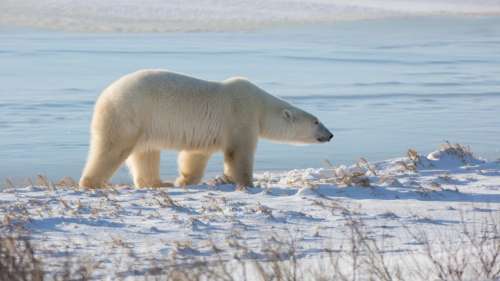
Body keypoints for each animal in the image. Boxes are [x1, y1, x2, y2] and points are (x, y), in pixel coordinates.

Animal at [79, 69, 332, 188]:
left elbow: (196, 155)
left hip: (146, 124)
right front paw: (247, 183)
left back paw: (158, 182)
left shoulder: (207, 133)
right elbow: (239, 153)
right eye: (316, 121)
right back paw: (92, 182)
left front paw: (184, 180)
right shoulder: (240, 116)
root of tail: (104, 95)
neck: (260, 106)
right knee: (111, 149)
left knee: (146, 153)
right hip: (129, 114)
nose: (330, 135)